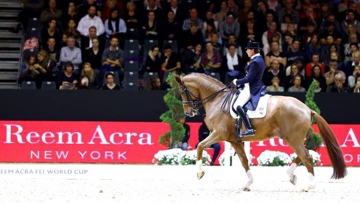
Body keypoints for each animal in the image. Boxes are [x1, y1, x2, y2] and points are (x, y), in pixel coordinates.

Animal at [174, 73, 346, 192]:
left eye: (182, 90)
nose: (188, 112)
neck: (217, 100)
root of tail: (307, 109)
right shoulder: (234, 141)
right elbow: (244, 161)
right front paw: (247, 184)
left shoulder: (219, 134)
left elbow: (200, 146)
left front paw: (199, 173)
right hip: (293, 138)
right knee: (305, 154)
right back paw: (291, 175)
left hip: (293, 139)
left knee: (307, 157)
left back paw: (308, 186)